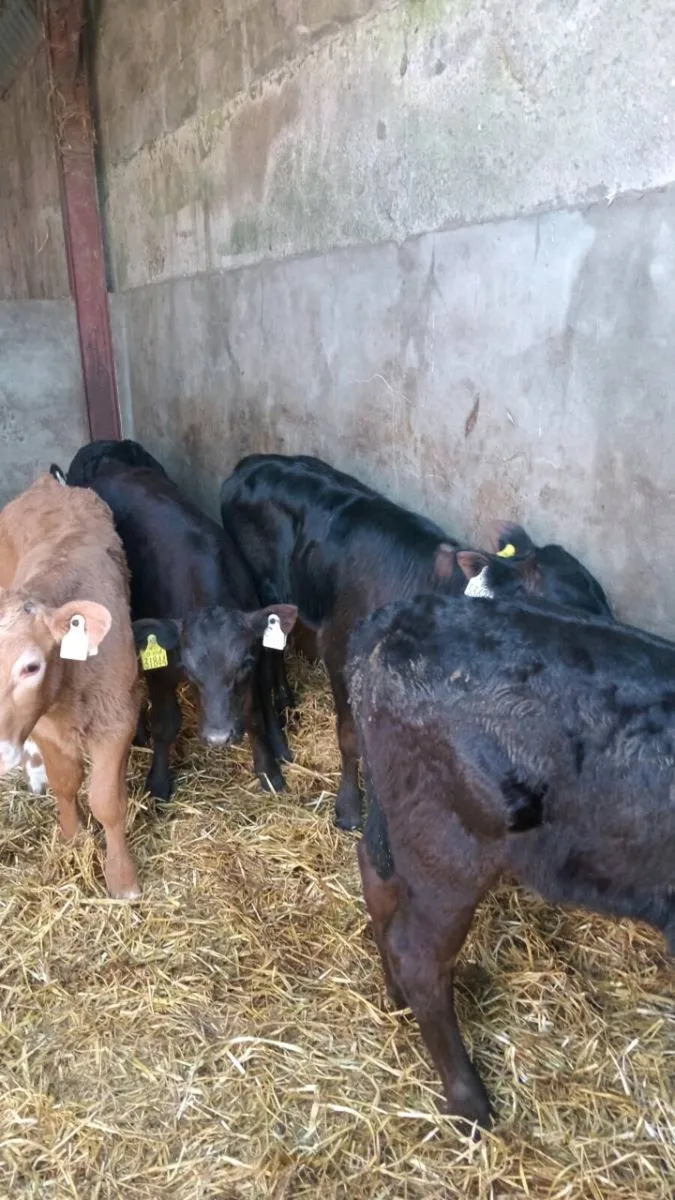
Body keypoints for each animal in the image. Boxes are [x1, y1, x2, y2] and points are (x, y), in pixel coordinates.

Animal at [0, 474, 142, 899]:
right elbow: (65, 781)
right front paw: (72, 837)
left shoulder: (118, 717)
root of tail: (47, 483)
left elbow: (106, 800)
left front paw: (122, 879)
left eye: (31, 667)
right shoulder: (44, 725)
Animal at [55, 455, 297, 802]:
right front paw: (158, 782)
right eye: (189, 669)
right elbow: (166, 723)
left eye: (242, 666)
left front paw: (269, 771)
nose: (218, 737)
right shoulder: (160, 667)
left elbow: (253, 716)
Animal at [219, 453, 613, 830]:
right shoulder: (338, 651)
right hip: (262, 590)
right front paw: (349, 810)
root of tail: (249, 464)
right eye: (564, 611)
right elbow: (350, 736)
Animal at [346, 592, 675, 1130]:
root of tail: (393, 621)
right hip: (450, 853)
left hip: (397, 822)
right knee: (418, 955)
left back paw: (395, 996)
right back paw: (470, 1103)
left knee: (376, 877)